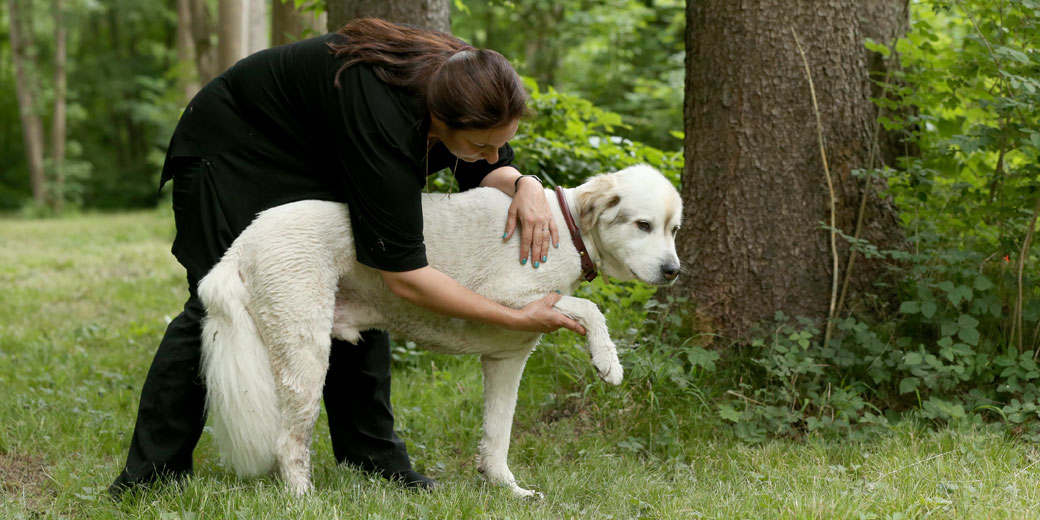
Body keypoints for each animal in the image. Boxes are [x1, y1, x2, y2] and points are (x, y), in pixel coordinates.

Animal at [196, 164, 682, 497]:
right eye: (643, 225)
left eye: (673, 230)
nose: (674, 271)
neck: (567, 228)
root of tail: (244, 240)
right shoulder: (504, 296)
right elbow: (590, 307)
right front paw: (608, 361)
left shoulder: (507, 359)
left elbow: (498, 436)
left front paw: (508, 490)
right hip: (305, 354)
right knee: (288, 442)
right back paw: (305, 498)